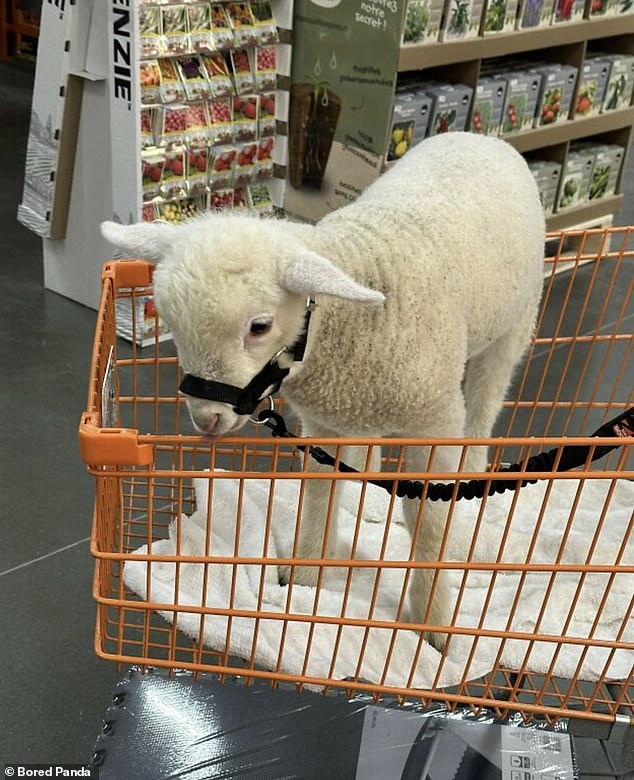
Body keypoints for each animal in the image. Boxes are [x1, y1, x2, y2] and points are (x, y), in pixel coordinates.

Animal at [100, 129, 544, 640]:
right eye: (170, 323)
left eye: (259, 326)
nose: (206, 419)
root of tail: (476, 136)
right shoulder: (323, 423)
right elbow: (318, 492)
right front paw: (306, 577)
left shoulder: (435, 420)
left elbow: (428, 523)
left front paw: (434, 623)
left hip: (514, 324)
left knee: (487, 398)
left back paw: (470, 471)